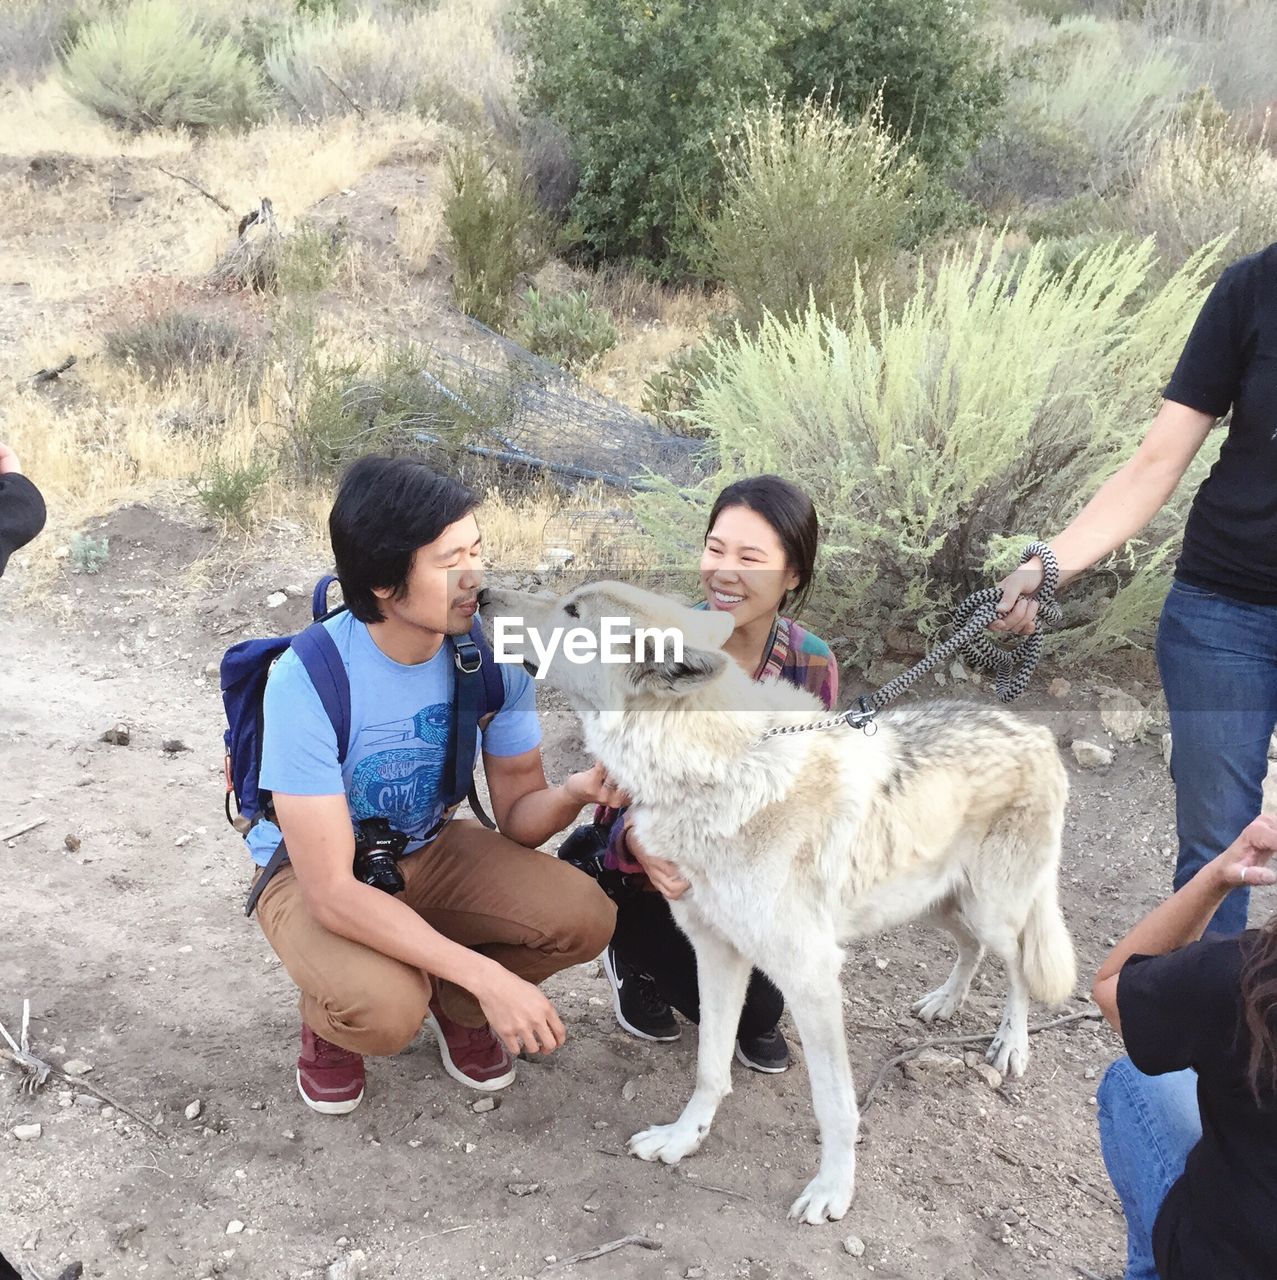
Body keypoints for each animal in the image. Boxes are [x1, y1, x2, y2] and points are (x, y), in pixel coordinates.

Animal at [481, 586, 1079, 1223]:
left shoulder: (811, 975)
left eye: (573, 612)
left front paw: (833, 1189)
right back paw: (943, 1003)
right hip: (934, 903)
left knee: (1019, 966)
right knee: (971, 950)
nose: (485, 592)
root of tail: (1034, 731)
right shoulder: (716, 951)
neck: (711, 771)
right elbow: (710, 1067)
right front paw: (683, 1139)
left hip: (992, 909)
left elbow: (835, 1105)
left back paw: (1011, 1045)